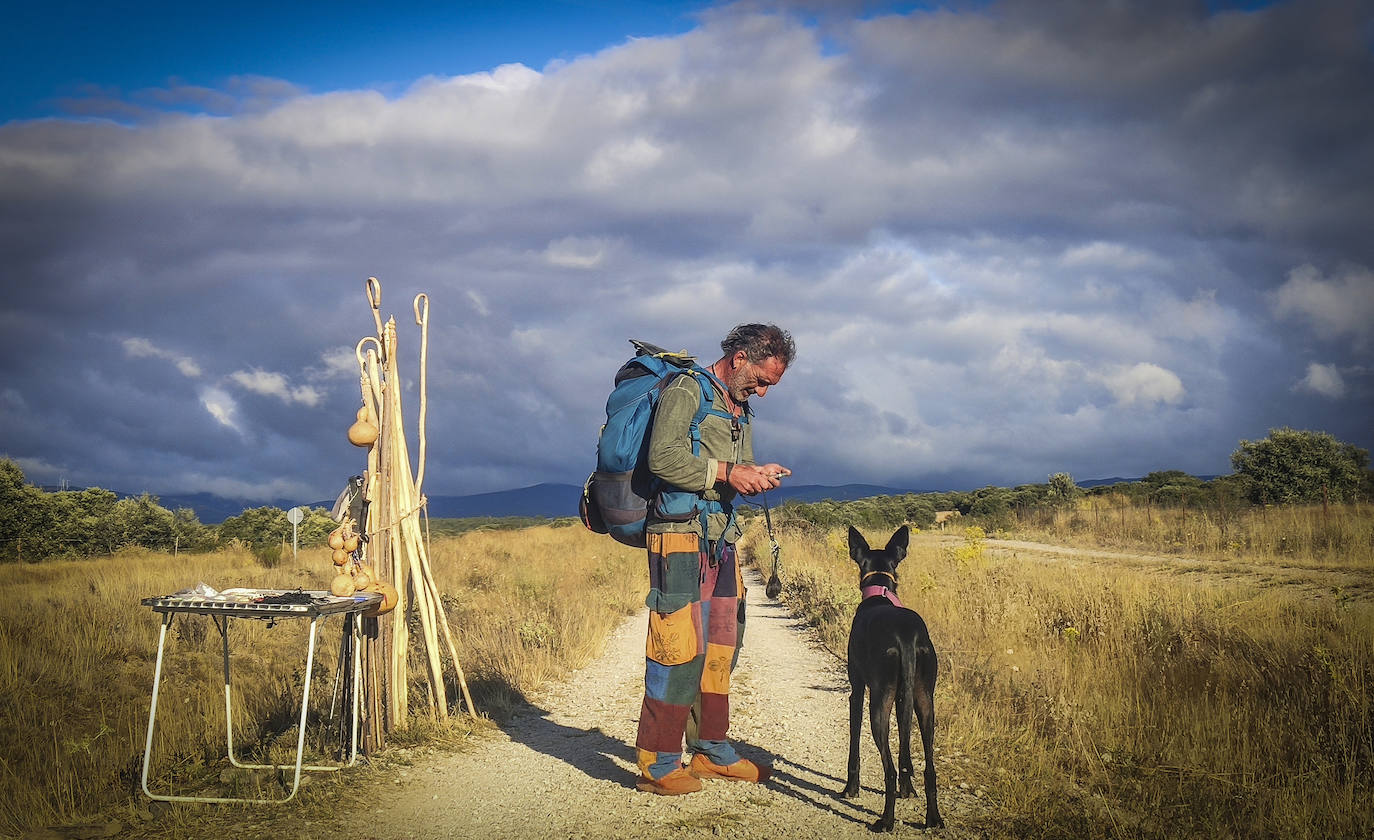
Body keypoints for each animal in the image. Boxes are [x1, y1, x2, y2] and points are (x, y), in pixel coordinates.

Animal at [840, 527, 939, 830]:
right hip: (924, 700)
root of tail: (906, 638)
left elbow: (854, 743)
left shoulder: (858, 691)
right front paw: (909, 790)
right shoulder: (901, 696)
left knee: (890, 769)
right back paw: (933, 818)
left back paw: (886, 820)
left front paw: (851, 788)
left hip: (879, 704)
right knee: (929, 768)